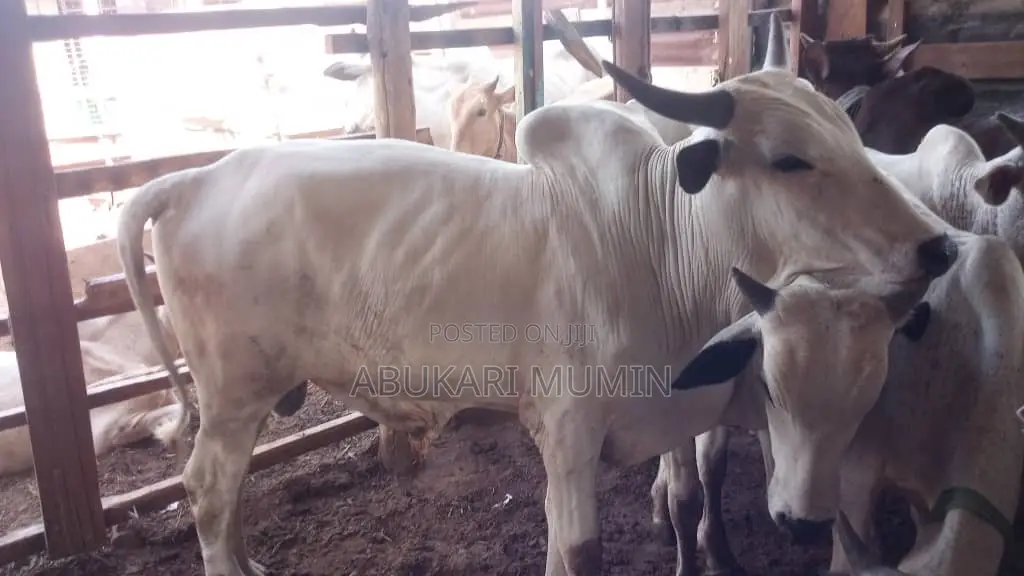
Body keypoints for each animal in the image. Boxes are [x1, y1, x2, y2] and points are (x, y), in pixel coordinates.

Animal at [116, 53, 958, 576]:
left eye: (852, 137)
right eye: (790, 158)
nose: (939, 246)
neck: (657, 248)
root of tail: (192, 180)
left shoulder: (673, 417)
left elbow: (669, 502)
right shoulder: (567, 430)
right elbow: (579, 551)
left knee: (224, 496)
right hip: (233, 396)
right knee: (207, 489)